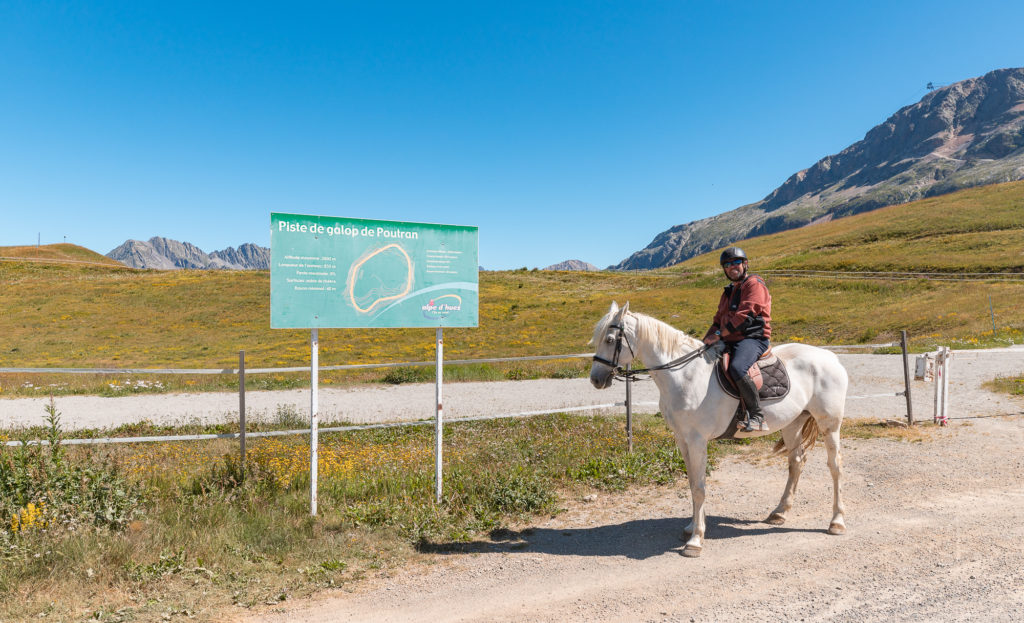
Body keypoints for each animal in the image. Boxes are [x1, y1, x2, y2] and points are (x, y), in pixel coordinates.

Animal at [589, 299, 851, 557]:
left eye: (610, 340)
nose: (595, 379)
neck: (684, 375)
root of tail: (831, 357)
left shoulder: (697, 440)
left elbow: (699, 487)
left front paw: (695, 540)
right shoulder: (682, 439)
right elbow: (693, 482)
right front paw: (692, 527)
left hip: (829, 424)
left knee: (835, 466)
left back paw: (836, 522)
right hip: (792, 423)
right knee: (796, 462)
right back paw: (779, 512)